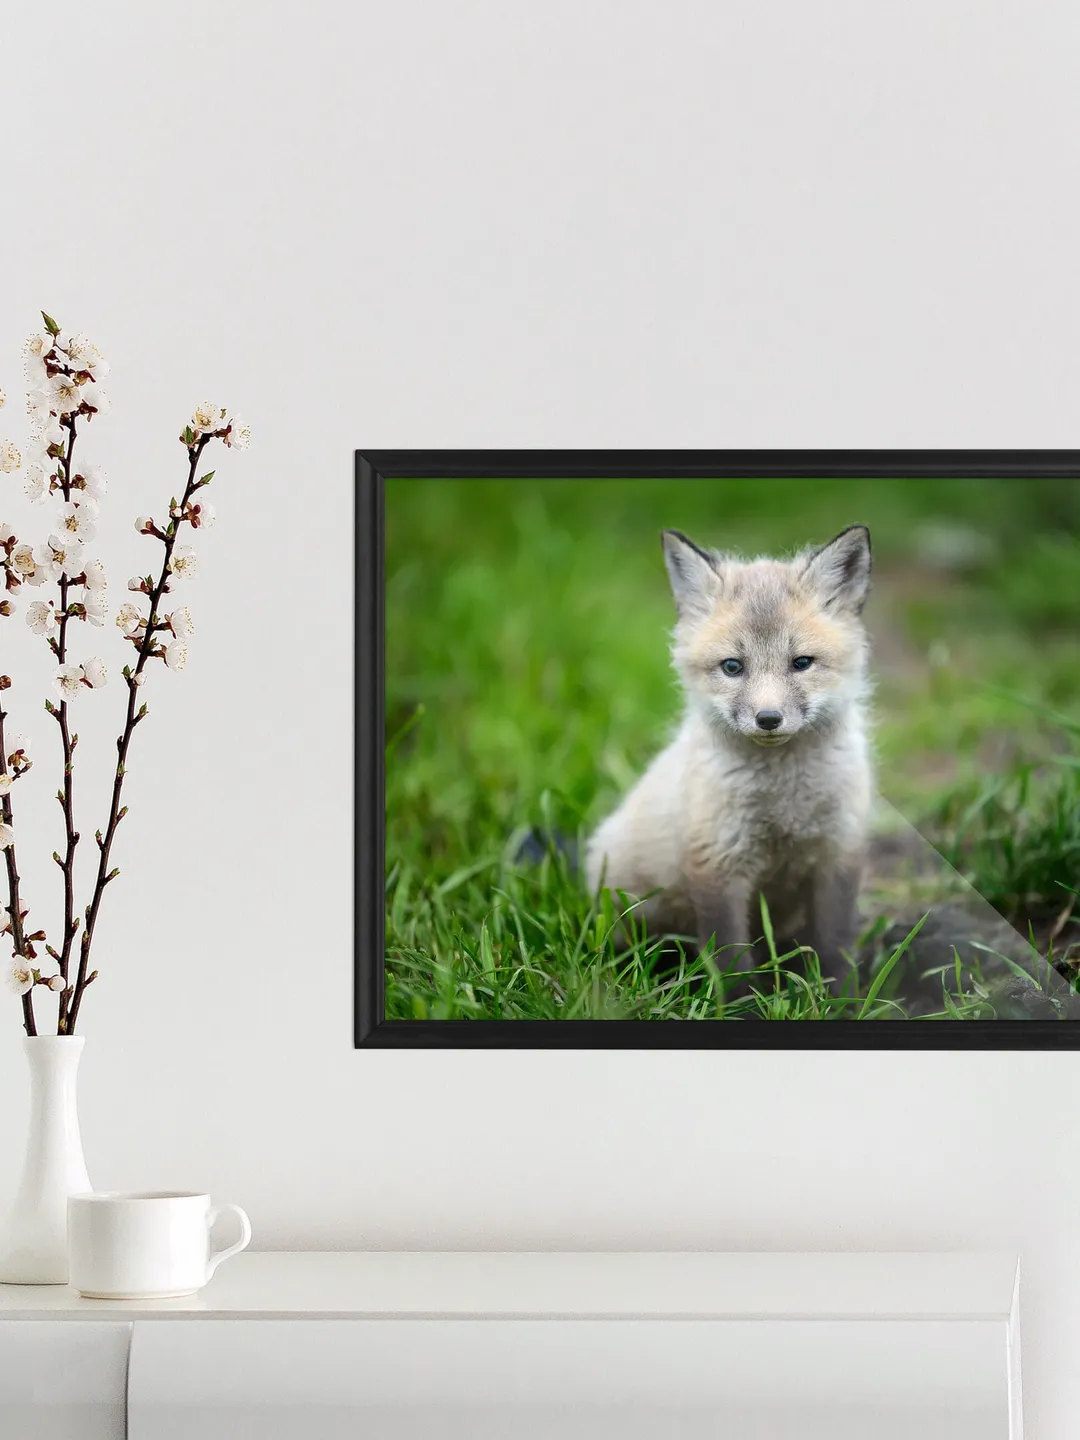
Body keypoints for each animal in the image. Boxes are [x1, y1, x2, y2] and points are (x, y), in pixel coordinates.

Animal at [585, 523, 874, 983]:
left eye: (802, 663)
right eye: (732, 667)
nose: (769, 718)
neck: (783, 799)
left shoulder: (838, 852)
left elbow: (835, 946)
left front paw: (842, 994)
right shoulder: (718, 863)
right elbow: (731, 959)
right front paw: (740, 999)